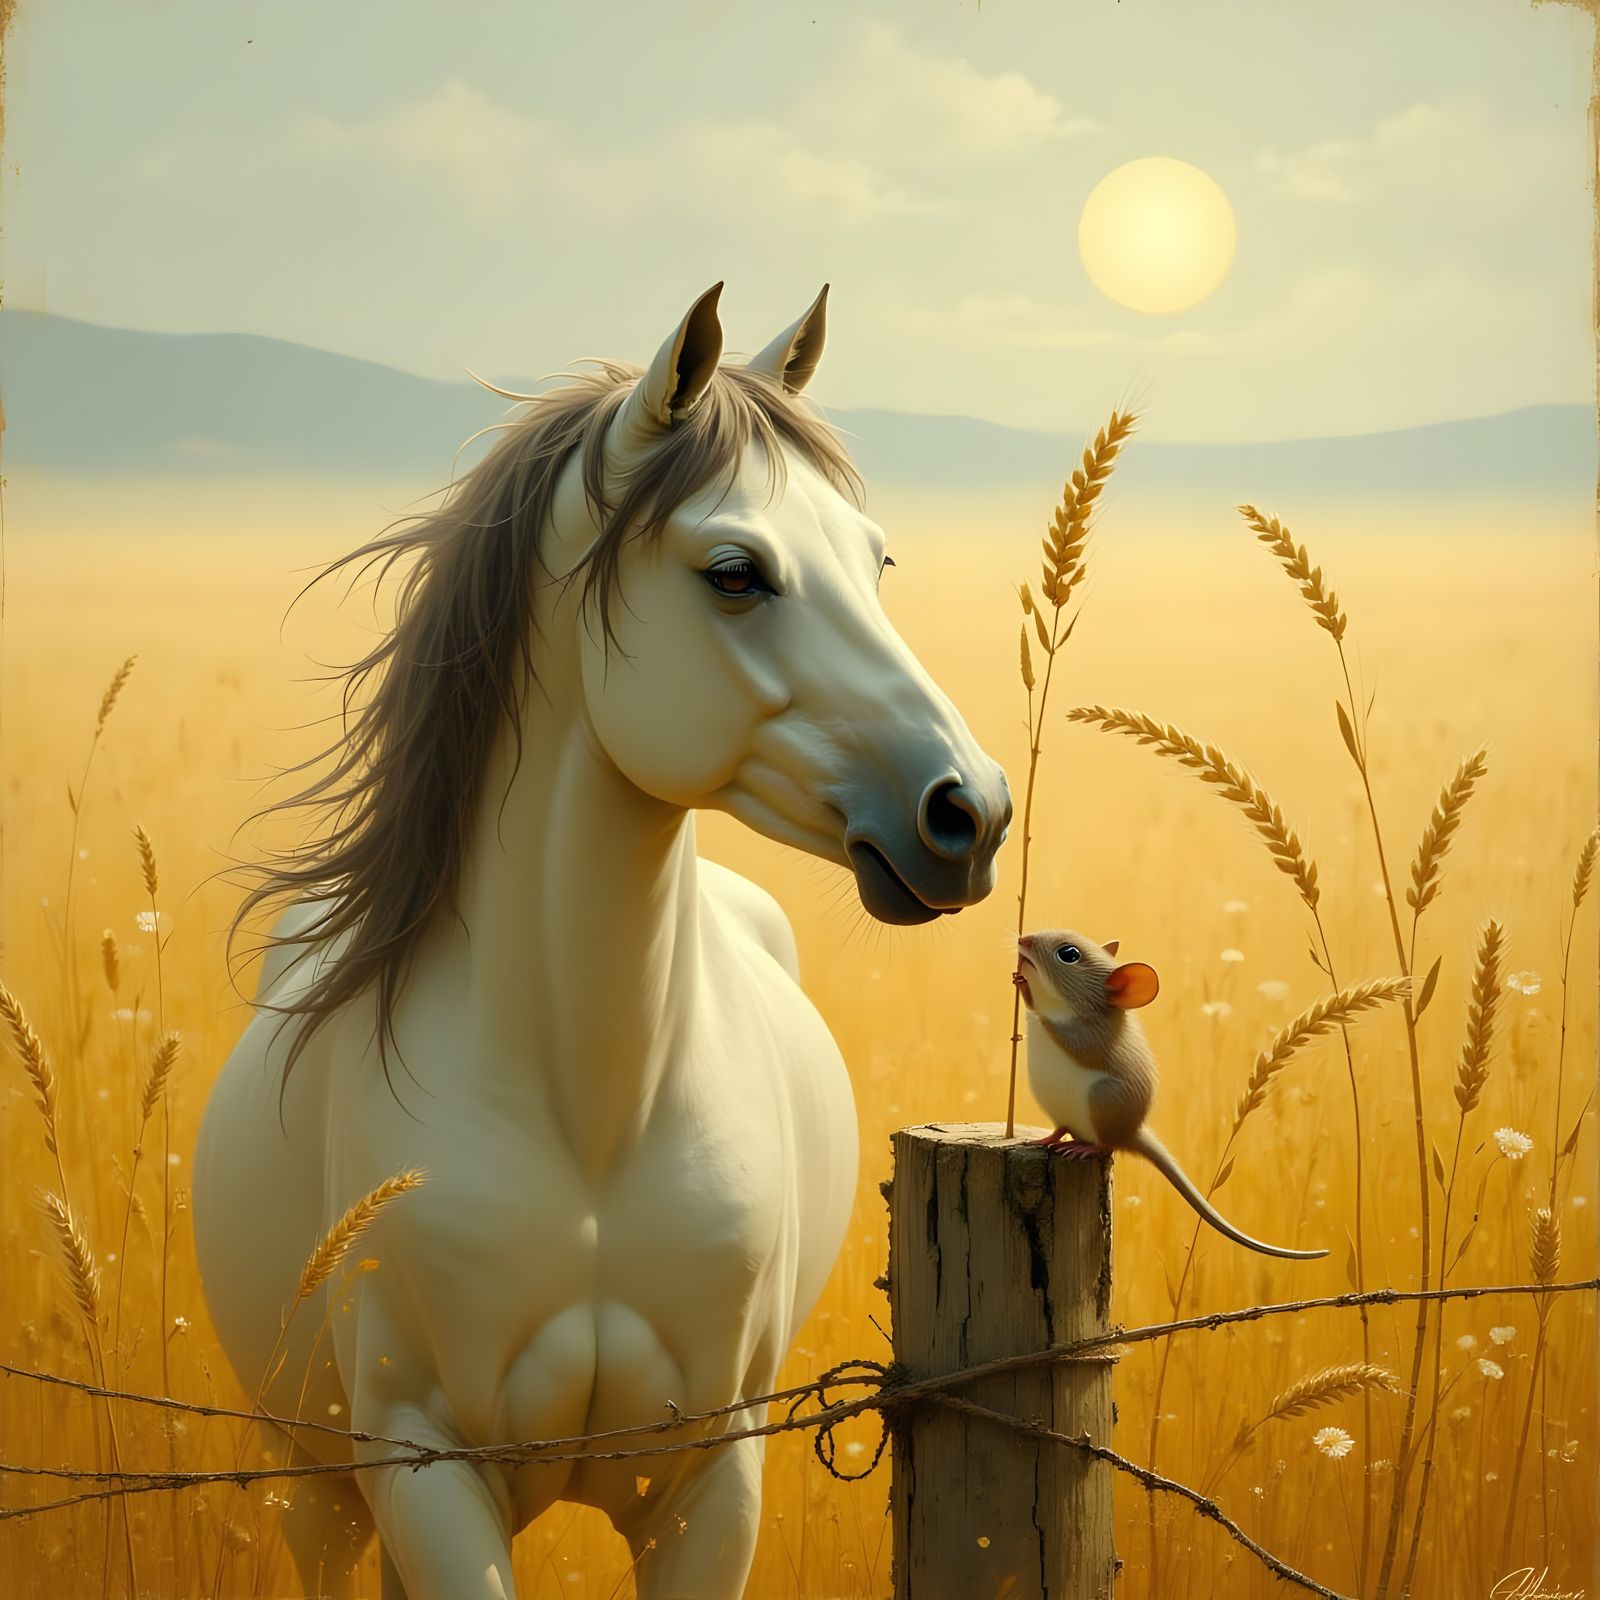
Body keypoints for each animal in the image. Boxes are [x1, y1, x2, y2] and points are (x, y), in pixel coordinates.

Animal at [193, 282, 1010, 1600]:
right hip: (320, 1489)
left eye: (875, 559)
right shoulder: (425, 1467)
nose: (968, 812)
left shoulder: (711, 1475)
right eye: (734, 572)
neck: (593, 1108)